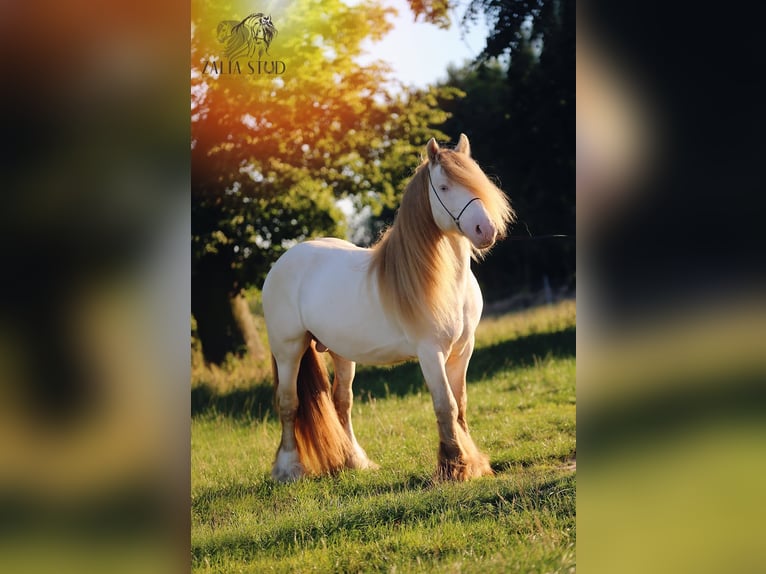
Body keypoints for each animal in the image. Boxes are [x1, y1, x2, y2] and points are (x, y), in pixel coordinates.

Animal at [262, 135, 516, 482]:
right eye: (444, 186)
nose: (485, 230)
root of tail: (281, 264)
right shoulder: (430, 353)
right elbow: (445, 405)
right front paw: (453, 466)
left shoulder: (464, 350)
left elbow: (461, 404)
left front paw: (472, 464)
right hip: (288, 350)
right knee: (289, 404)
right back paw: (289, 470)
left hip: (341, 353)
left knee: (342, 402)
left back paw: (353, 461)